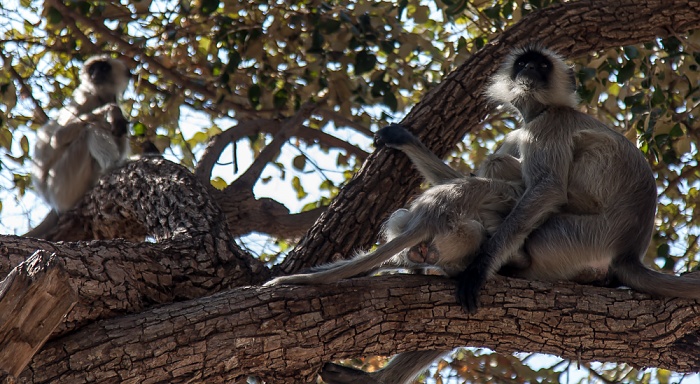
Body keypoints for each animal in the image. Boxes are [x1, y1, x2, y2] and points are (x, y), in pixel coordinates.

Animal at [32, 55, 132, 212]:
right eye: (93, 69)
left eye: (104, 68)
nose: (95, 74)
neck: (101, 97)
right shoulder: (87, 100)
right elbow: (58, 137)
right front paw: (112, 109)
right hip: (62, 182)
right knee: (91, 128)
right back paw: (113, 165)